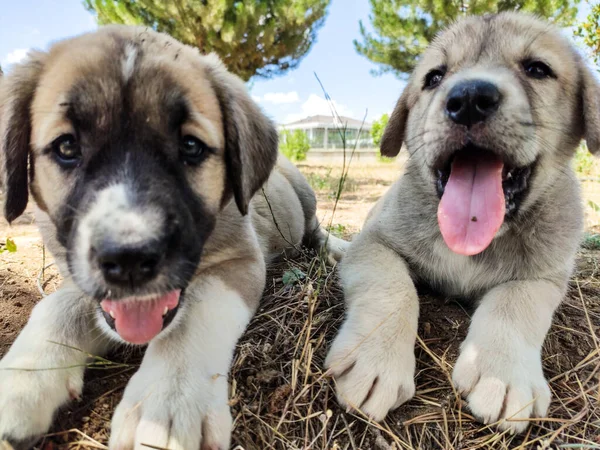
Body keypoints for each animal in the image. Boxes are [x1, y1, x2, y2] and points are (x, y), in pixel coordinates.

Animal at [326, 12, 596, 434]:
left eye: (537, 69)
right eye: (434, 77)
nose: (468, 98)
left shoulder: (544, 278)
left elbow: (514, 303)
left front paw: (501, 373)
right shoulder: (375, 243)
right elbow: (392, 287)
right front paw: (375, 358)